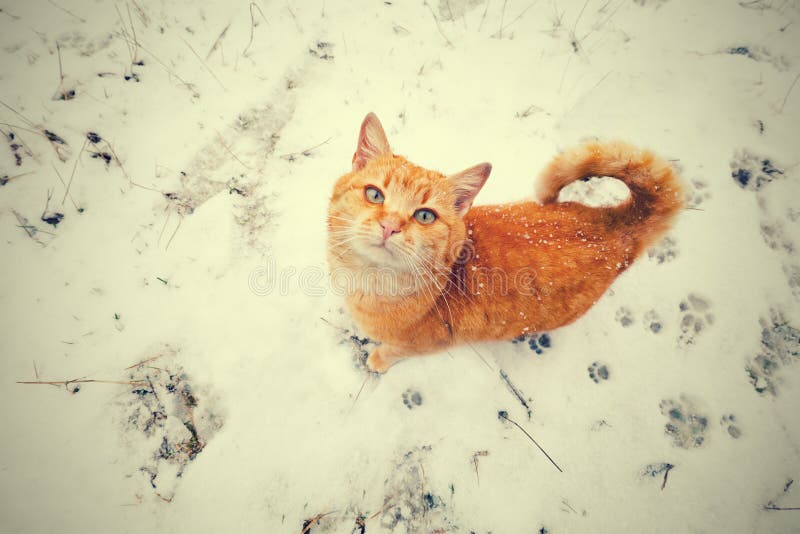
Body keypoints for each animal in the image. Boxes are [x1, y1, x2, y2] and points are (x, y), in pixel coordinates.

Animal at [328, 113, 684, 372]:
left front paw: (378, 360)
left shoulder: (420, 345)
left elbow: (392, 351)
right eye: (374, 195)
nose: (390, 226)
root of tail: (617, 220)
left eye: (425, 216)